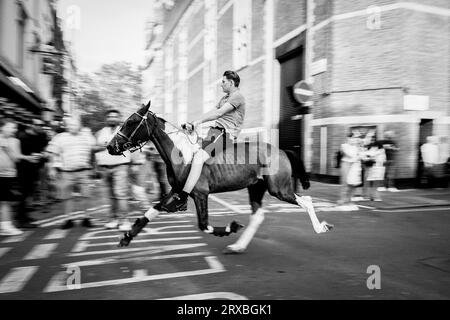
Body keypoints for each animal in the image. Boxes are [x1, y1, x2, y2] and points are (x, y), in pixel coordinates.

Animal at [104, 101, 330, 254]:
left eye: (132, 121)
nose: (110, 146)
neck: (180, 155)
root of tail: (282, 151)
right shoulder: (177, 191)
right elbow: (151, 211)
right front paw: (126, 237)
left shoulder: (200, 193)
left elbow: (204, 224)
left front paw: (230, 228)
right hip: (256, 188)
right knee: (258, 216)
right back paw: (238, 247)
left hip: (279, 189)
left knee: (306, 201)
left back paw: (320, 228)